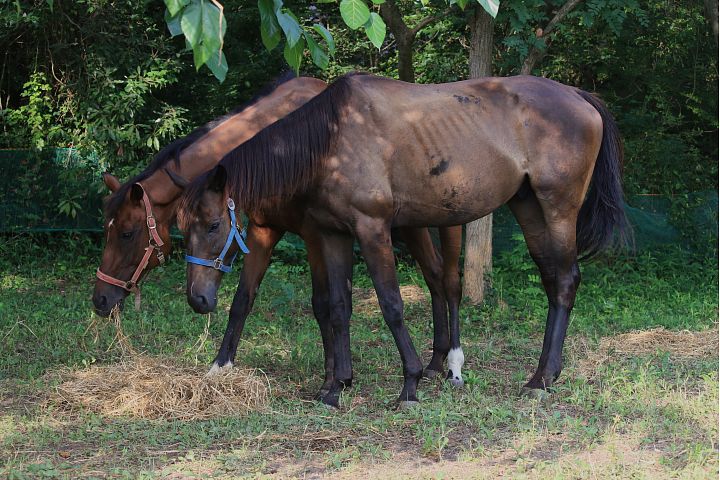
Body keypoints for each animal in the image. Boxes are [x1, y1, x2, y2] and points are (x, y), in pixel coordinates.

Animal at [90, 71, 466, 394]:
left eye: (127, 233)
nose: (100, 300)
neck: (277, 143)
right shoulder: (263, 229)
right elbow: (243, 300)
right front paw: (220, 367)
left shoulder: (314, 233)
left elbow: (323, 304)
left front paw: (331, 379)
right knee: (434, 277)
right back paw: (434, 362)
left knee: (444, 280)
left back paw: (450, 365)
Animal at [179, 72, 632, 408]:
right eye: (183, 226)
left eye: (214, 225)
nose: (196, 300)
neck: (332, 139)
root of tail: (577, 95)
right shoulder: (331, 234)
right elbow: (337, 307)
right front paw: (335, 388)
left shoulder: (372, 230)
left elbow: (391, 304)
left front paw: (410, 385)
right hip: (529, 208)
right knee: (551, 280)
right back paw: (535, 373)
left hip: (557, 209)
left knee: (566, 280)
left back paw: (540, 378)